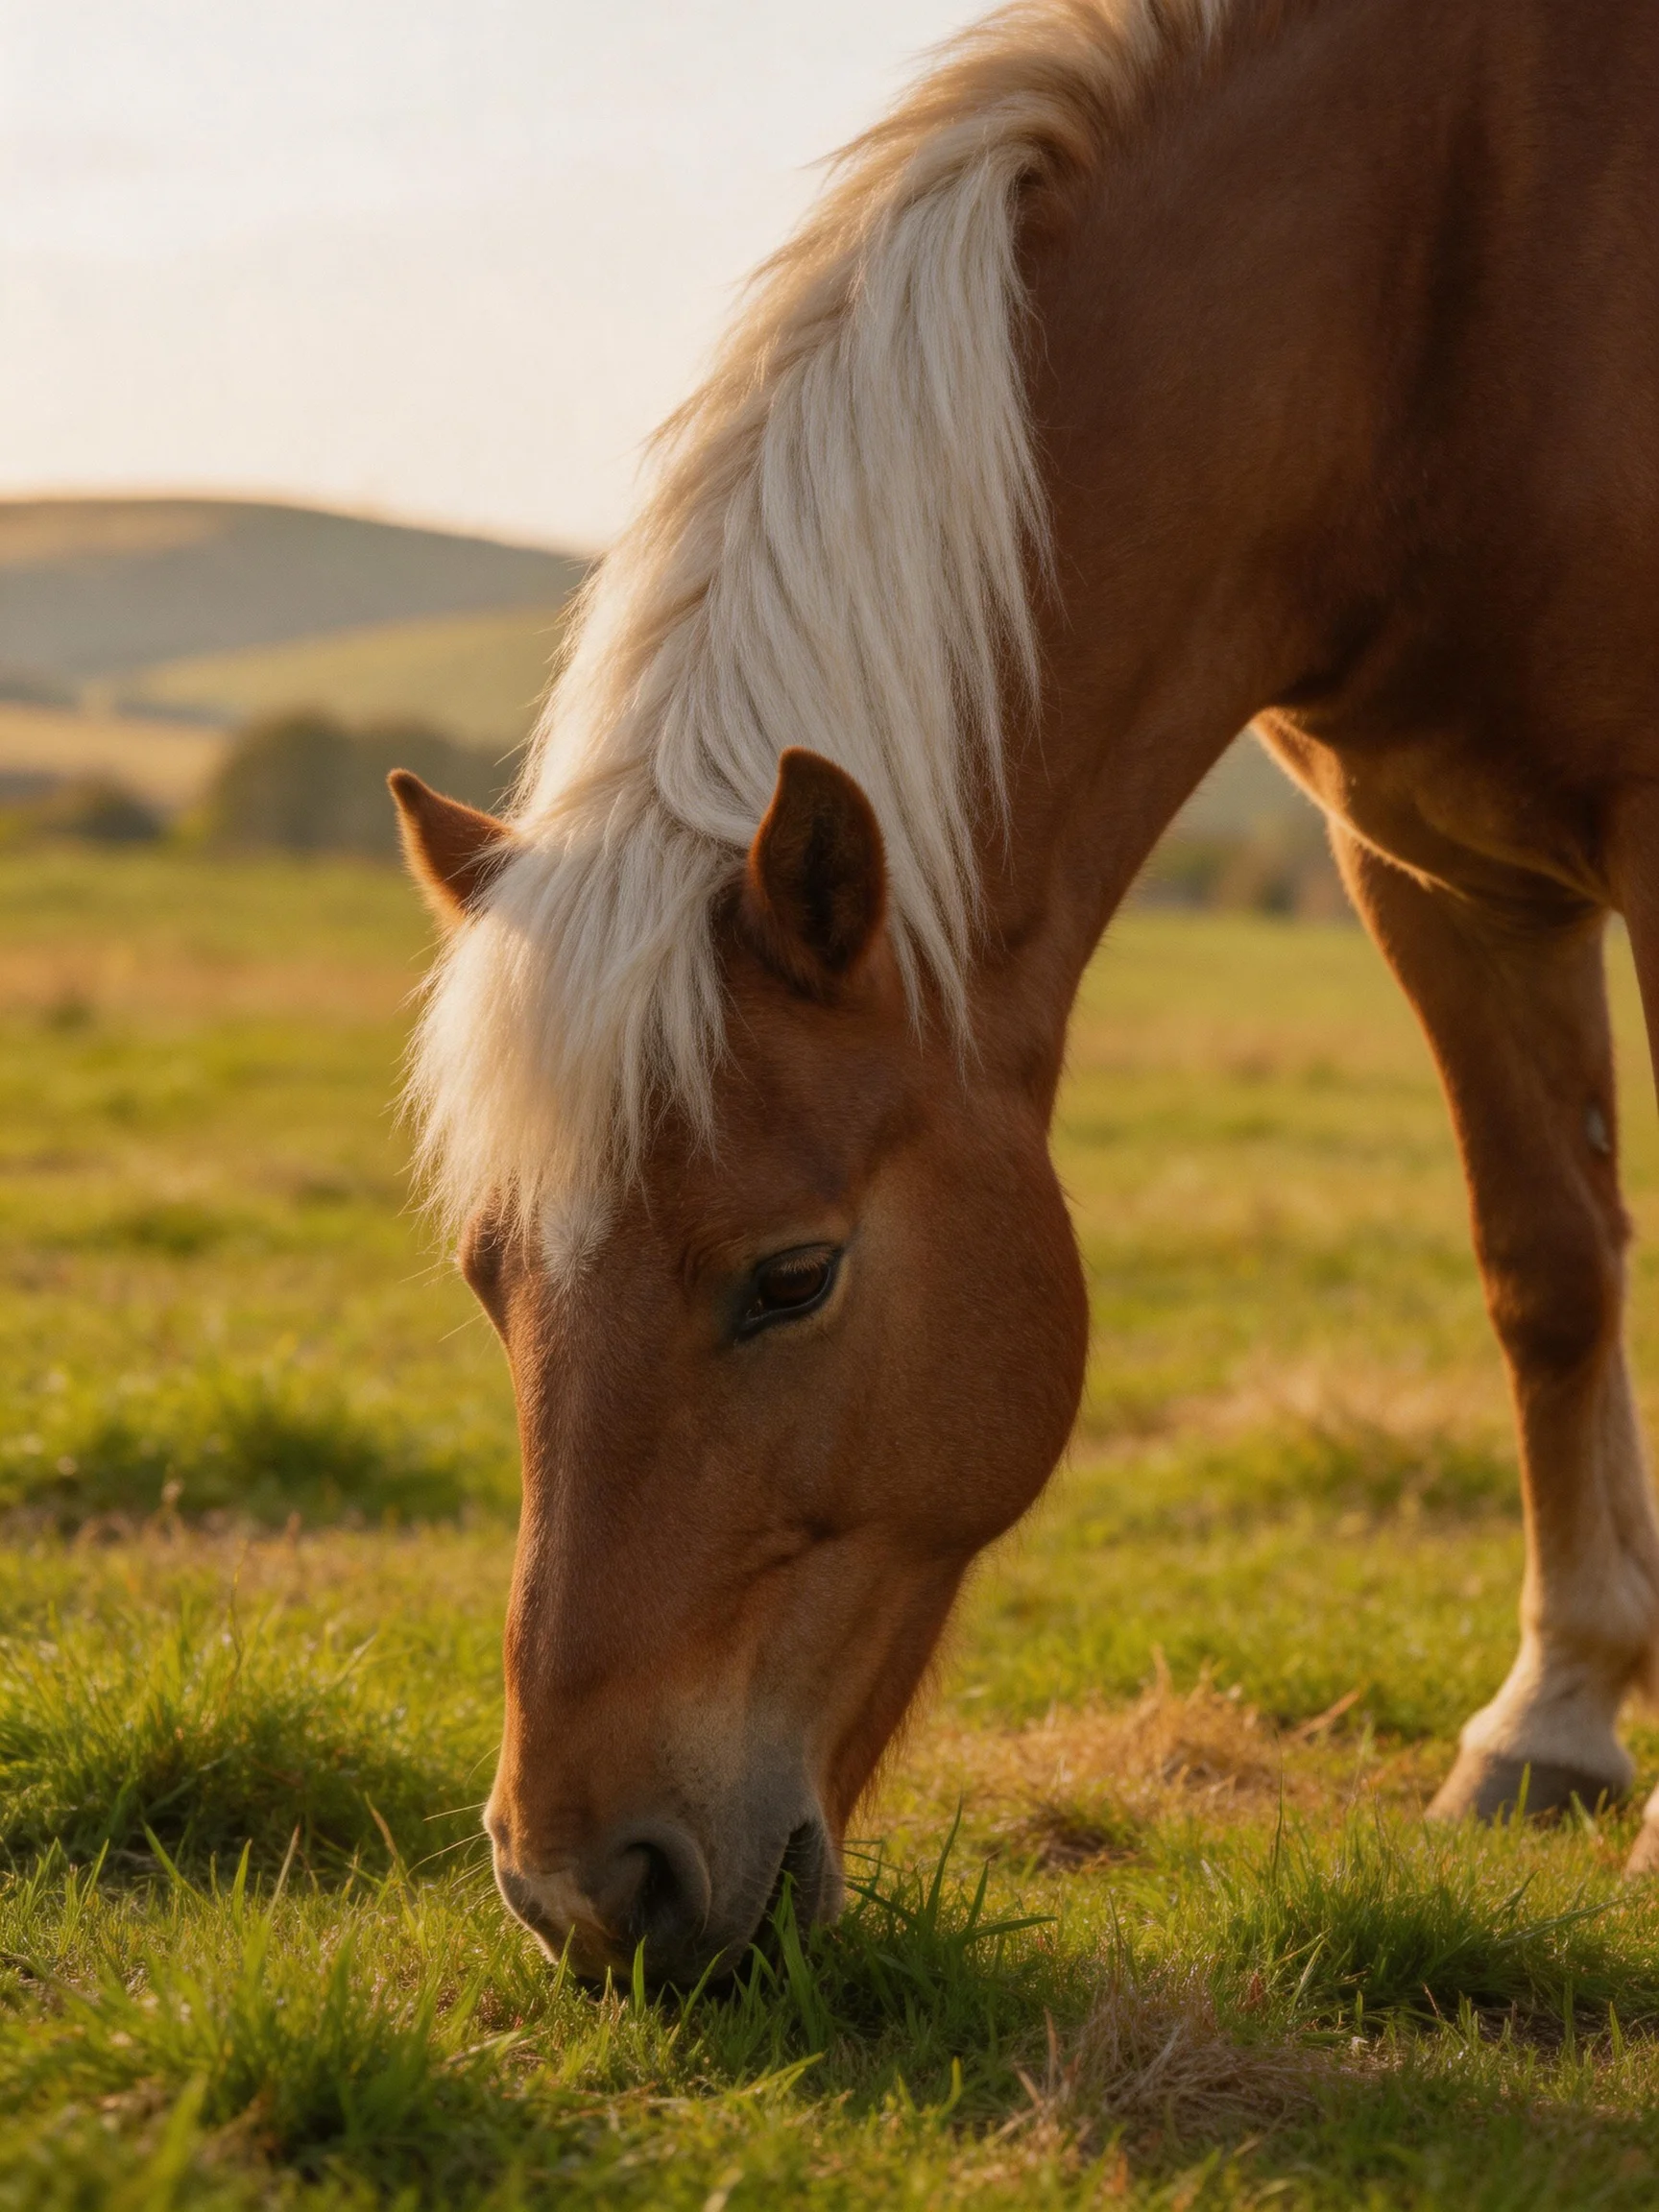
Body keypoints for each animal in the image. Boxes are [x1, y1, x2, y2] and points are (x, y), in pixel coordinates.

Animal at [389, 0, 1659, 1983]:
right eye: (486, 1275)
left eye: (793, 1274)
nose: (583, 1889)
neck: (1444, 283)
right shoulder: (1434, 869)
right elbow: (1544, 1265)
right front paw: (1550, 1716)